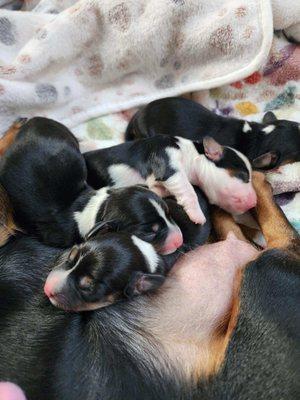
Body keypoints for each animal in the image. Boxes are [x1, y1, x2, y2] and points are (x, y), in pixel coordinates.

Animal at [83, 135, 256, 225]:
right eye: (243, 176)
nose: (254, 203)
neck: (191, 152)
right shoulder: (169, 165)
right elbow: (188, 190)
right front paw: (197, 216)